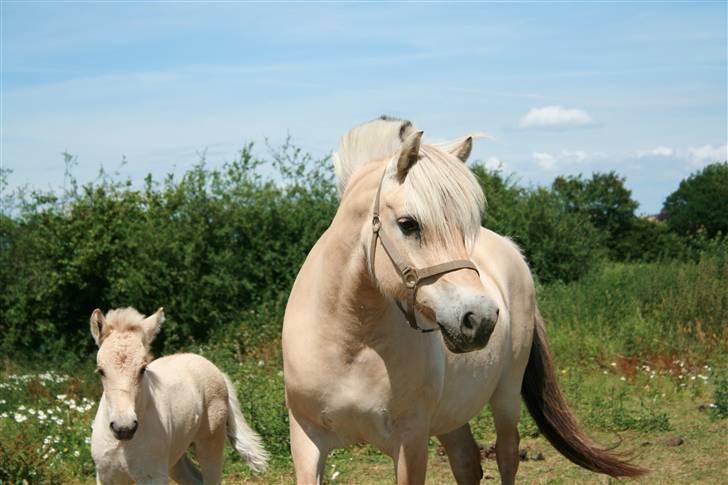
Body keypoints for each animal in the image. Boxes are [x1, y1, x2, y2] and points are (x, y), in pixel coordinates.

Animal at [90, 308, 268, 482]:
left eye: (143, 369)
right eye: (101, 371)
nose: (124, 428)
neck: (122, 445)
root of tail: (216, 370)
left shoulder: (153, 476)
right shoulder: (106, 476)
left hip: (210, 445)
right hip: (175, 456)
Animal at [282, 118, 644, 484]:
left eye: (464, 227)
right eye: (408, 224)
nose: (480, 319)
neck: (350, 342)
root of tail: (513, 250)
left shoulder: (411, 442)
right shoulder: (307, 441)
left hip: (506, 395)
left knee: (506, 455)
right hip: (452, 414)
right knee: (467, 461)